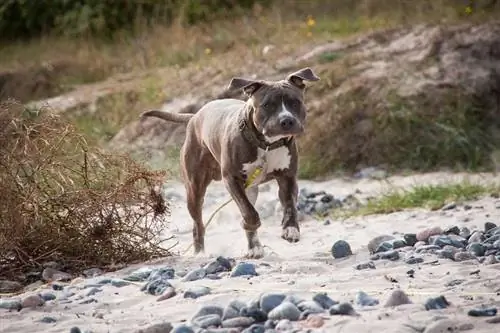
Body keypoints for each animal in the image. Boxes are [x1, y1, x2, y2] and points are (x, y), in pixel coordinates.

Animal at [141, 67, 320, 256]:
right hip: (194, 189)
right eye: (267, 105)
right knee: (198, 225)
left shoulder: (287, 177)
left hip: (250, 188)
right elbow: (249, 212)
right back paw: (200, 253)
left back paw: (254, 247)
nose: (286, 120)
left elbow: (290, 206)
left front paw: (290, 229)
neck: (266, 145)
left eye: (295, 102)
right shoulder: (232, 179)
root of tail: (195, 116)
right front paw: (249, 223)